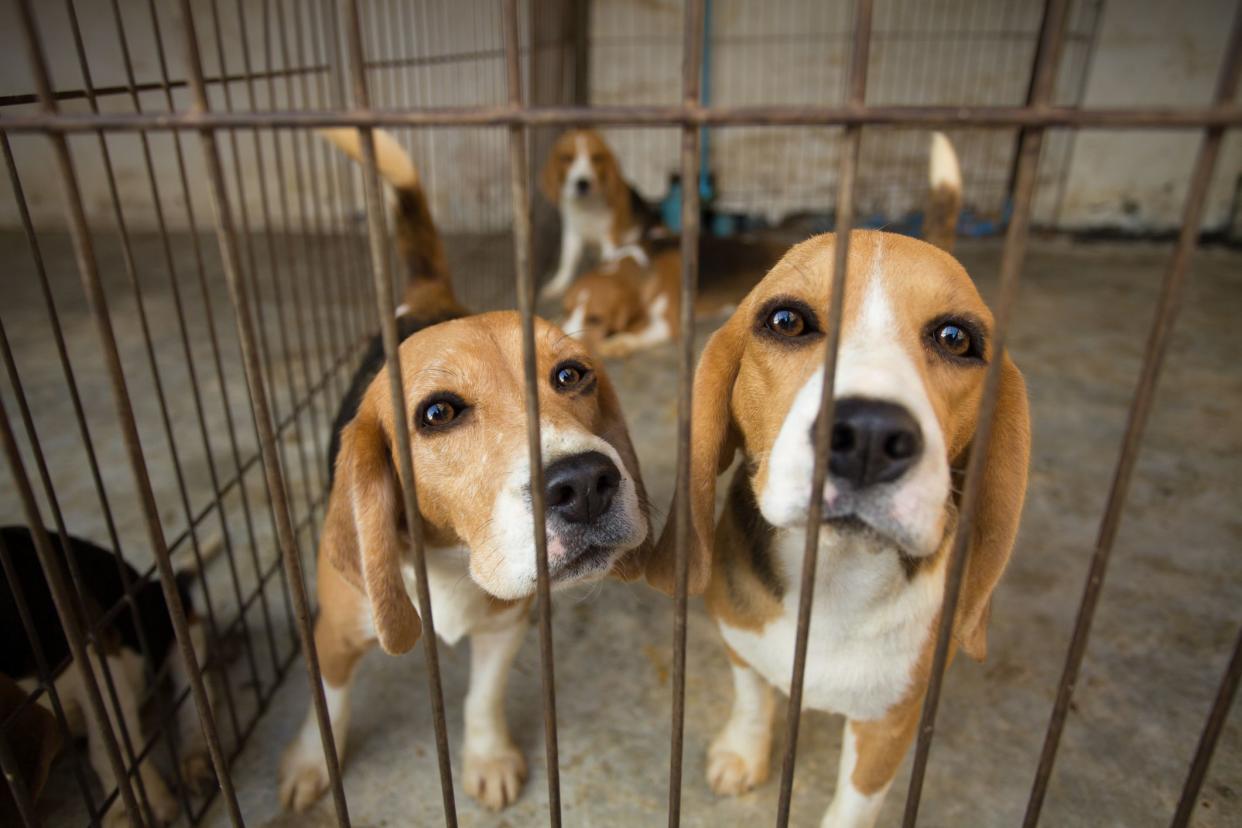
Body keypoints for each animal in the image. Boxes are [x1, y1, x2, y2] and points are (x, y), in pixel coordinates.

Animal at [279, 127, 650, 809]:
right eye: (438, 413)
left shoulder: (507, 623)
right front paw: (312, 764)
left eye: (571, 375)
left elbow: (483, 697)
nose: (586, 484)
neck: (452, 559)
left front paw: (488, 756)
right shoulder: (333, 636)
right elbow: (330, 706)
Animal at [539, 132, 665, 304]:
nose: (582, 183)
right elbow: (567, 260)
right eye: (567, 158)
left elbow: (609, 258)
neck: (587, 205)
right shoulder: (572, 232)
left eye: (597, 158)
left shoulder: (609, 236)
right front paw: (558, 285)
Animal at [645, 132, 1033, 824]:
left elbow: (855, 801)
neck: (832, 579)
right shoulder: (740, 640)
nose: (870, 437)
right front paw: (743, 753)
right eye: (786, 321)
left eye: (957, 338)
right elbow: (753, 699)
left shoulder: (890, 723)